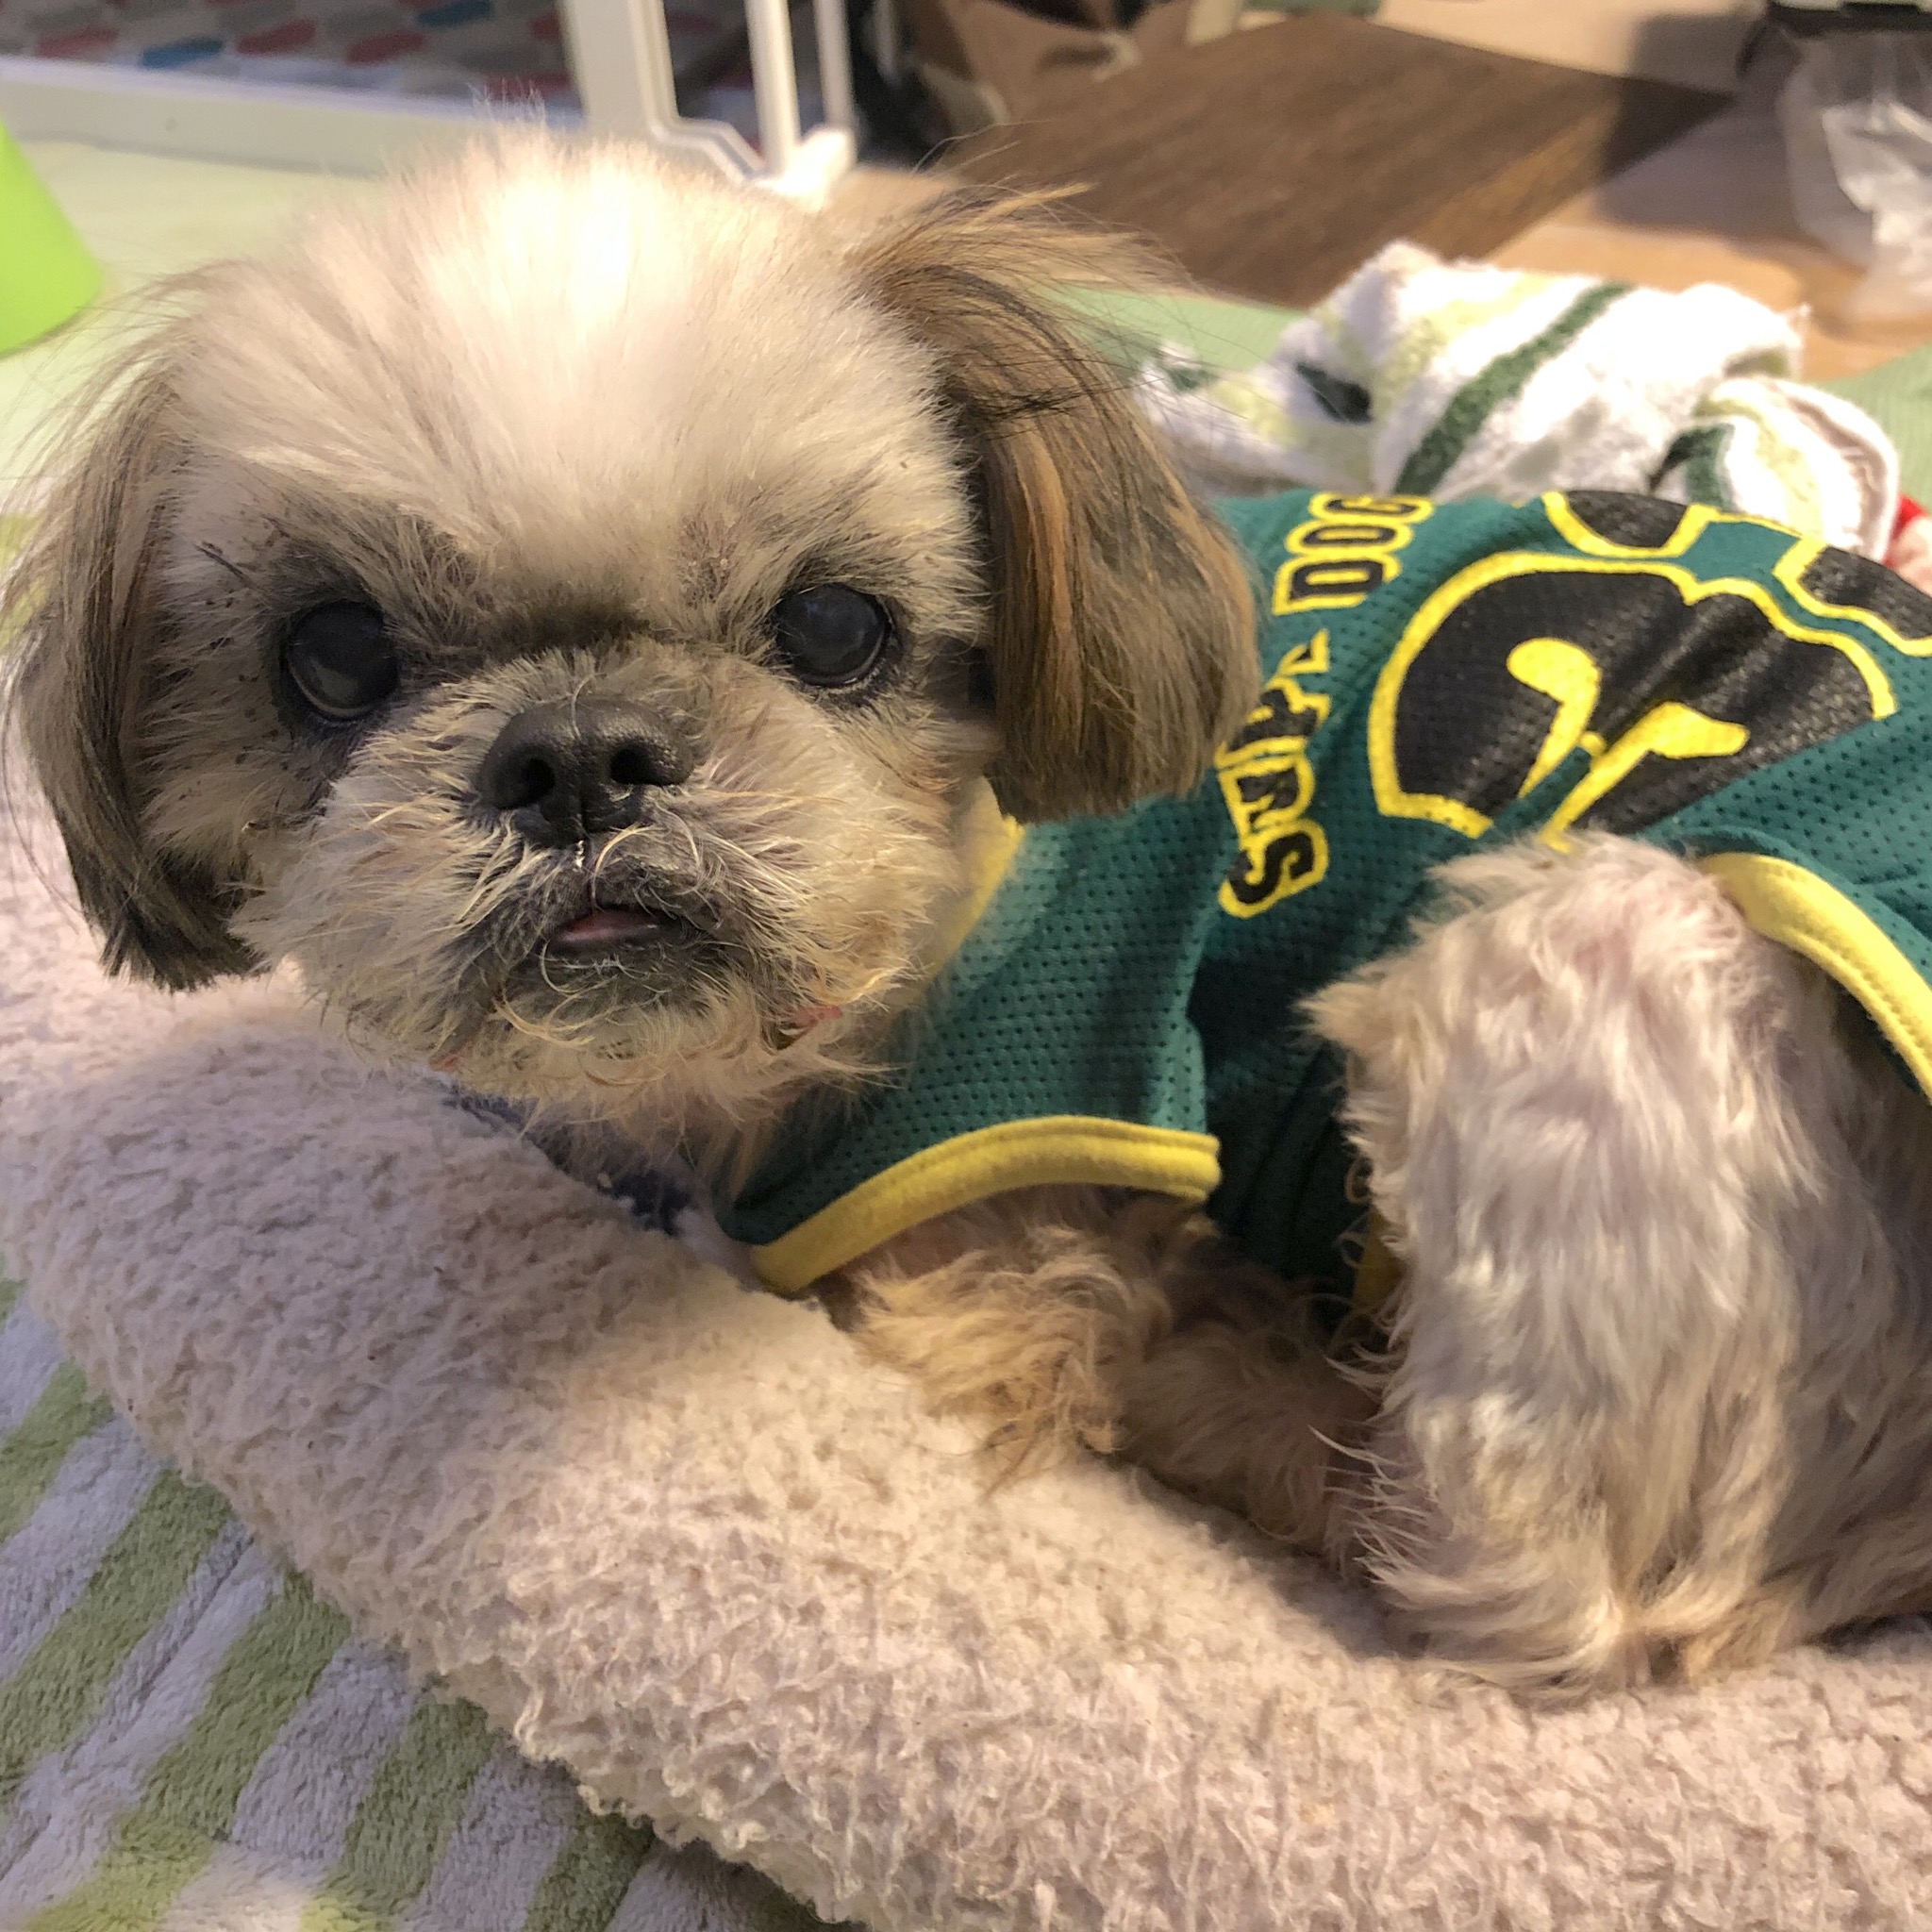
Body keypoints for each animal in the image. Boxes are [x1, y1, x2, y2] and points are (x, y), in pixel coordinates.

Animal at [12, 138, 1932, 1702]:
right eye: (331, 658)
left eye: (835, 626)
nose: (578, 758)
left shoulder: (1013, 1170)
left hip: (1580, 953)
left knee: (1511, 1586)